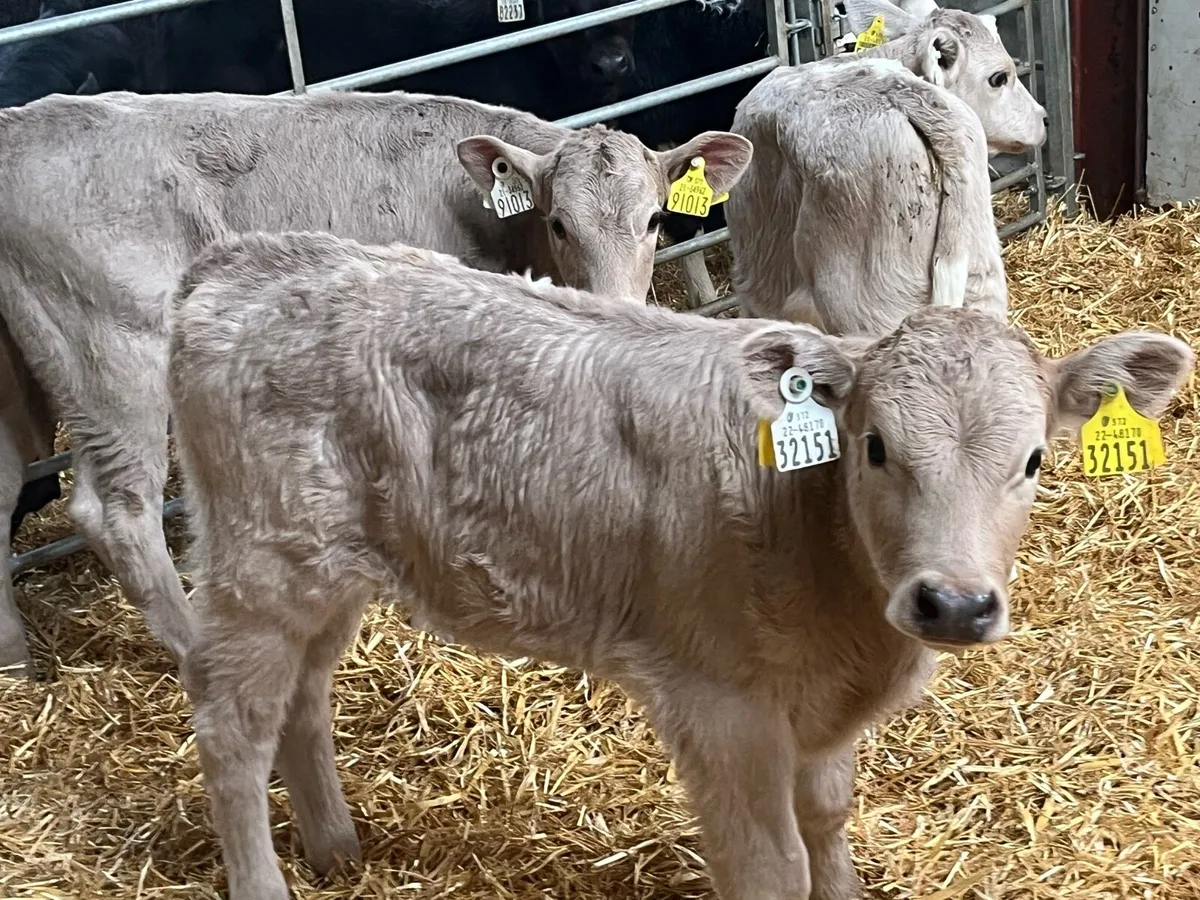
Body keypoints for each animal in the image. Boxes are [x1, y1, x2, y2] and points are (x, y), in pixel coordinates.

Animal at [0, 89, 751, 677]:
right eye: (559, 223)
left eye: (655, 219)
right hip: (117, 353)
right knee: (117, 512)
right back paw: (197, 653)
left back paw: (16, 662)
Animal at [167, 229, 1193, 900]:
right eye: (874, 447)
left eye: (1035, 460)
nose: (952, 604)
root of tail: (249, 257)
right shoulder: (722, 705)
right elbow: (770, 866)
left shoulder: (818, 712)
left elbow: (829, 817)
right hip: (261, 565)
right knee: (230, 730)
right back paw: (266, 880)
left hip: (331, 569)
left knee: (302, 700)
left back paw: (337, 848)